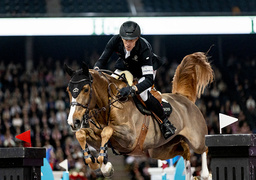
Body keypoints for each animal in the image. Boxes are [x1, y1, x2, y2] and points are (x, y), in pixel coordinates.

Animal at [64, 51, 214, 179]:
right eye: (68, 90)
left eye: (85, 89)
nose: (73, 122)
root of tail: (183, 97)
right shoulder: (96, 136)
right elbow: (81, 134)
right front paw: (97, 163)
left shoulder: (129, 138)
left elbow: (107, 130)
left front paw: (105, 166)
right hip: (160, 150)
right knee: (185, 151)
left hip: (196, 139)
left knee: (204, 148)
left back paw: (205, 174)